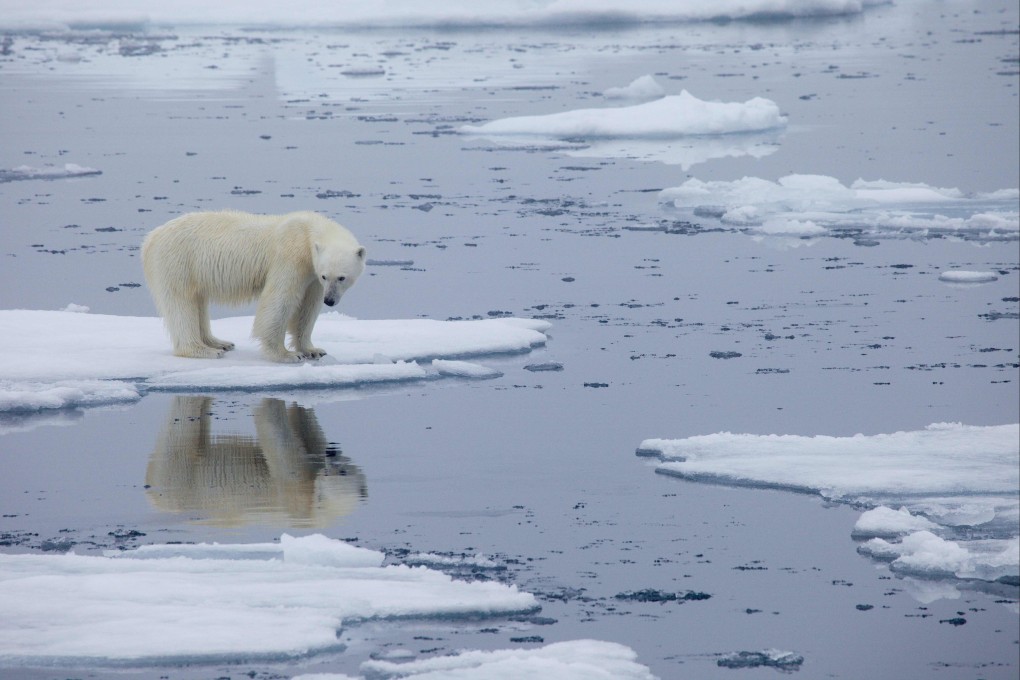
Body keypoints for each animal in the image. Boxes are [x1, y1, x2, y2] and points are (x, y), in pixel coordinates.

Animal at [141, 211, 367, 360]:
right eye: (326, 276)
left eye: (341, 278)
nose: (330, 300)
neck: (307, 233)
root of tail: (151, 238)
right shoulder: (291, 257)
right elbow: (280, 299)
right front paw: (286, 354)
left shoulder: (311, 275)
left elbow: (309, 307)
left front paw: (313, 350)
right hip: (178, 261)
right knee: (181, 303)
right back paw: (203, 350)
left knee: (198, 302)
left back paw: (219, 342)